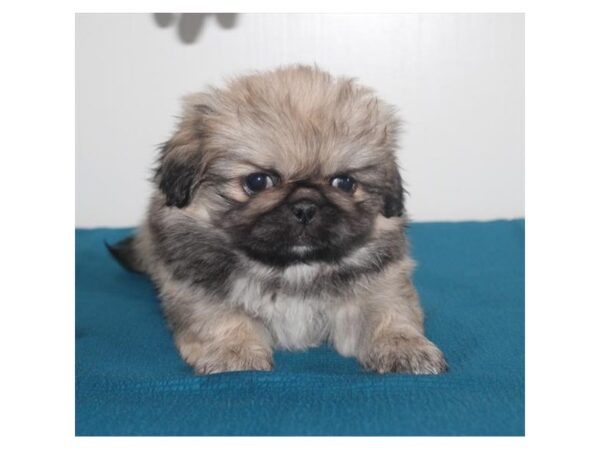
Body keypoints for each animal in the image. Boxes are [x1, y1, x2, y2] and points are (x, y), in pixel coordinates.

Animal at [108, 63, 448, 372]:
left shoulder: (381, 284)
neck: (292, 270)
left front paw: (404, 349)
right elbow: (222, 318)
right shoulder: (200, 287)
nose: (306, 206)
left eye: (344, 183)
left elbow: (389, 314)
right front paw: (233, 352)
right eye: (258, 182)